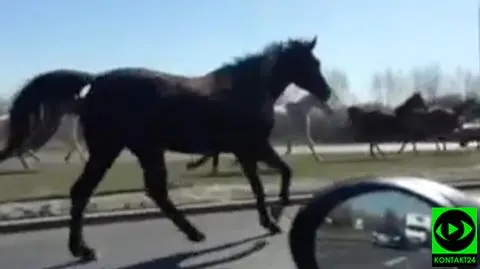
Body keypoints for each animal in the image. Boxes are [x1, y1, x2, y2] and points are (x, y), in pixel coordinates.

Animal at [1, 37, 334, 260]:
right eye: (311, 63)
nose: (327, 91)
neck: (246, 89)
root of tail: (95, 82)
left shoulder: (245, 150)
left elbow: (263, 182)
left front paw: (270, 219)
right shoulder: (252, 145)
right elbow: (278, 176)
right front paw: (276, 216)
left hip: (139, 149)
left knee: (149, 191)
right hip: (113, 149)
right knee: (89, 191)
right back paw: (85, 249)